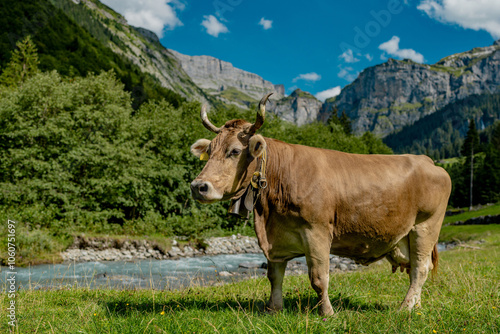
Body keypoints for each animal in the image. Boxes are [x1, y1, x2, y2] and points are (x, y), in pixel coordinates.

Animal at [189, 94, 452, 316]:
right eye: (209, 150)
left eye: (234, 151)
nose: (198, 186)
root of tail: (426, 160)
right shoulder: (276, 240)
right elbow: (274, 276)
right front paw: (273, 309)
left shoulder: (317, 231)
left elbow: (318, 277)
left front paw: (327, 313)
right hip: (405, 236)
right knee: (416, 267)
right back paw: (417, 306)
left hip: (426, 226)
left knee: (420, 268)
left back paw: (404, 308)